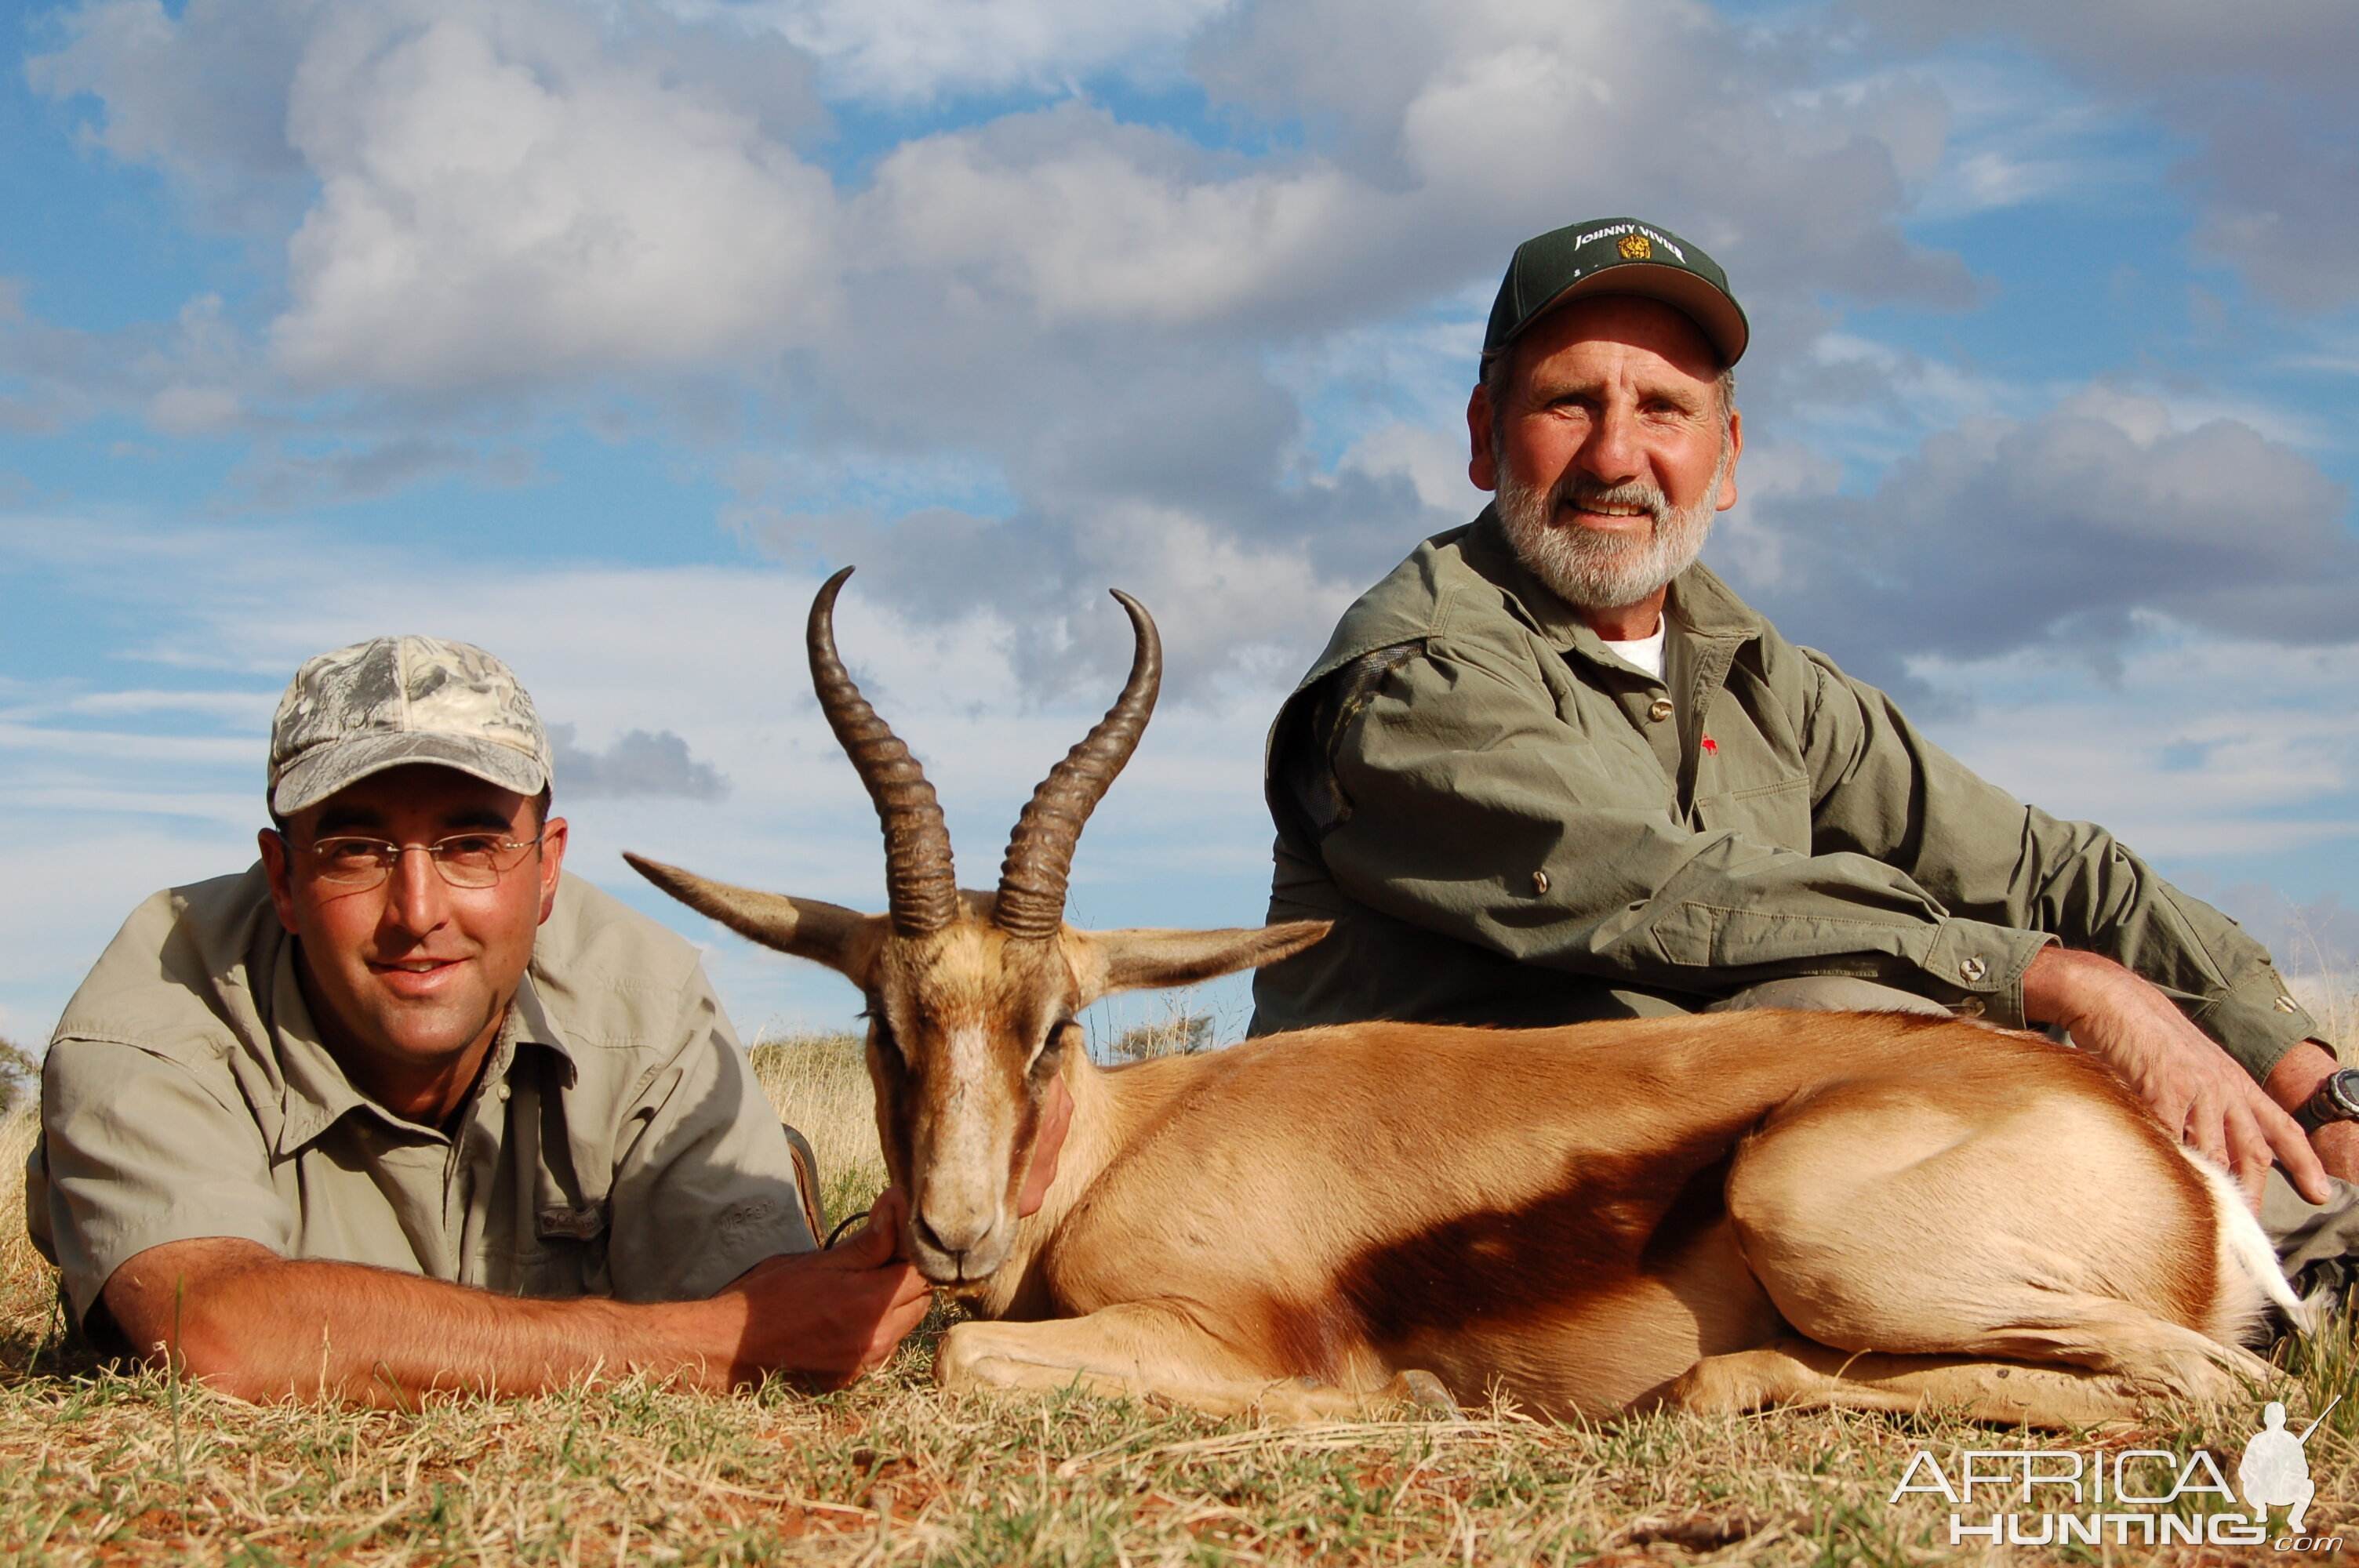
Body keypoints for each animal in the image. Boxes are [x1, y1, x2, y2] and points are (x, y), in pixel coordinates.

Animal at [632, 568, 2302, 1424]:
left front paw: (1409, 1403)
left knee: (2201, 1385)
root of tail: (2173, 1162)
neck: (1116, 1153)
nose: (952, 1234)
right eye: (884, 1022)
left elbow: (972, 1357)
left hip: (1814, 1216)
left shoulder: (1235, 1336)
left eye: (1055, 1029)